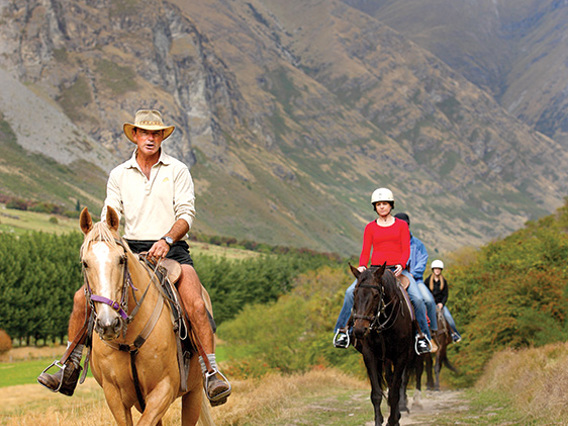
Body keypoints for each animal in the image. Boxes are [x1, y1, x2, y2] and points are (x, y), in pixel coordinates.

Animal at [79, 206, 213, 422]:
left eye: (121, 259)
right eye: (85, 263)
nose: (109, 324)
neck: (128, 340)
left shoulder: (163, 389)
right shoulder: (114, 396)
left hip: (194, 392)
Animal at [350, 264, 412, 424]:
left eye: (376, 295)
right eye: (354, 293)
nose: (359, 330)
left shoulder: (401, 357)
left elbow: (395, 393)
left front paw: (393, 421)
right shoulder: (369, 355)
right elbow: (376, 393)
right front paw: (379, 421)